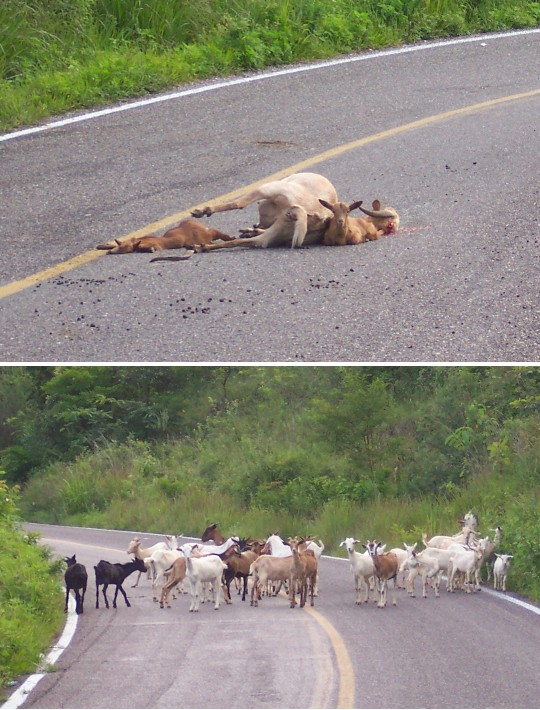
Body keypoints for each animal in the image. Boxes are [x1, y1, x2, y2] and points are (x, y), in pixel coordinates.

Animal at [96, 219, 233, 253]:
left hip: (204, 236)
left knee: (215, 232)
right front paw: (103, 245)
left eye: (124, 248)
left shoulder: (156, 245)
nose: (111, 253)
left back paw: (229, 237)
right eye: (120, 245)